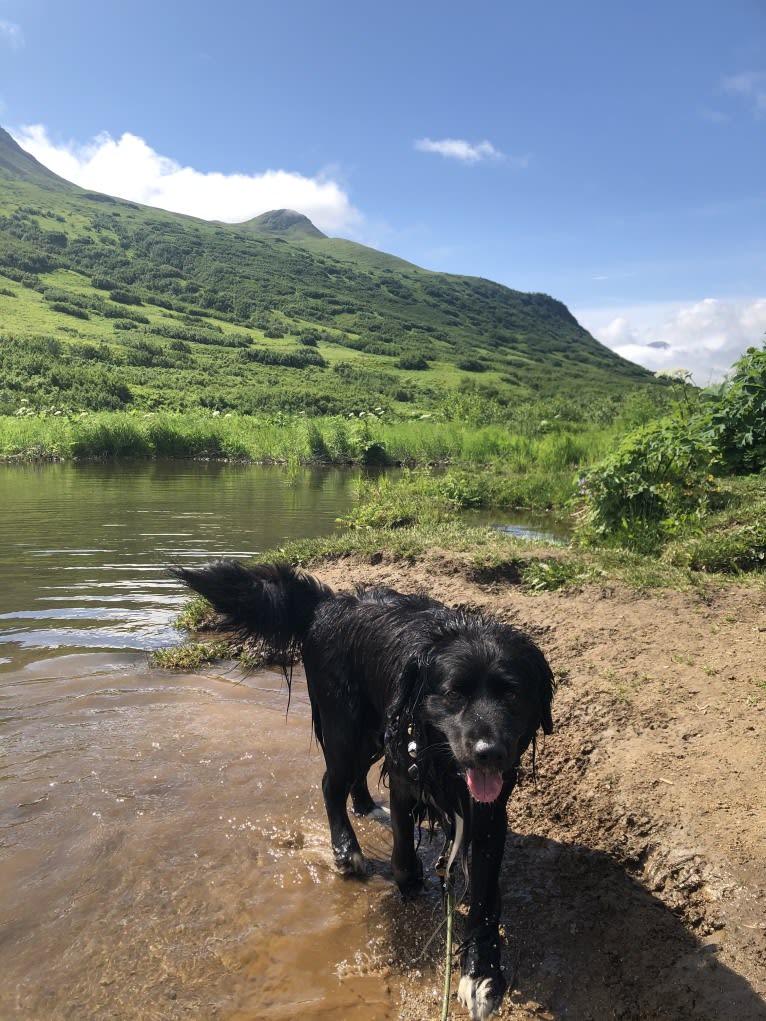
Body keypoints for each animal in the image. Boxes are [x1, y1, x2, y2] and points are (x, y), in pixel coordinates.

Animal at [169, 563, 551, 1016]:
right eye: (454, 693)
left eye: (513, 694)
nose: (489, 753)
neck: (444, 762)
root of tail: (328, 603)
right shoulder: (407, 774)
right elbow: (403, 855)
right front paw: (410, 886)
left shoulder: (490, 811)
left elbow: (484, 897)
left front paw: (482, 972)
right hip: (347, 729)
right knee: (330, 785)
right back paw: (346, 850)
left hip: (372, 734)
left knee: (353, 781)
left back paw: (368, 808)